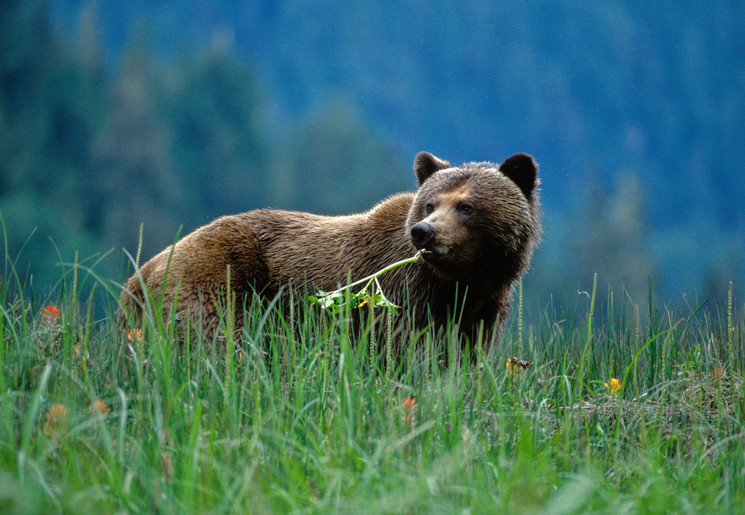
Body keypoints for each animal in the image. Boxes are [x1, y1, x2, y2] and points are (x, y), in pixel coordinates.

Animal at [119, 151, 540, 354]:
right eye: (430, 204)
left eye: (466, 206)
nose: (424, 232)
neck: (459, 280)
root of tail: (140, 275)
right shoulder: (400, 295)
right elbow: (403, 352)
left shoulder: (480, 308)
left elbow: (463, 355)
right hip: (219, 274)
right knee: (217, 338)